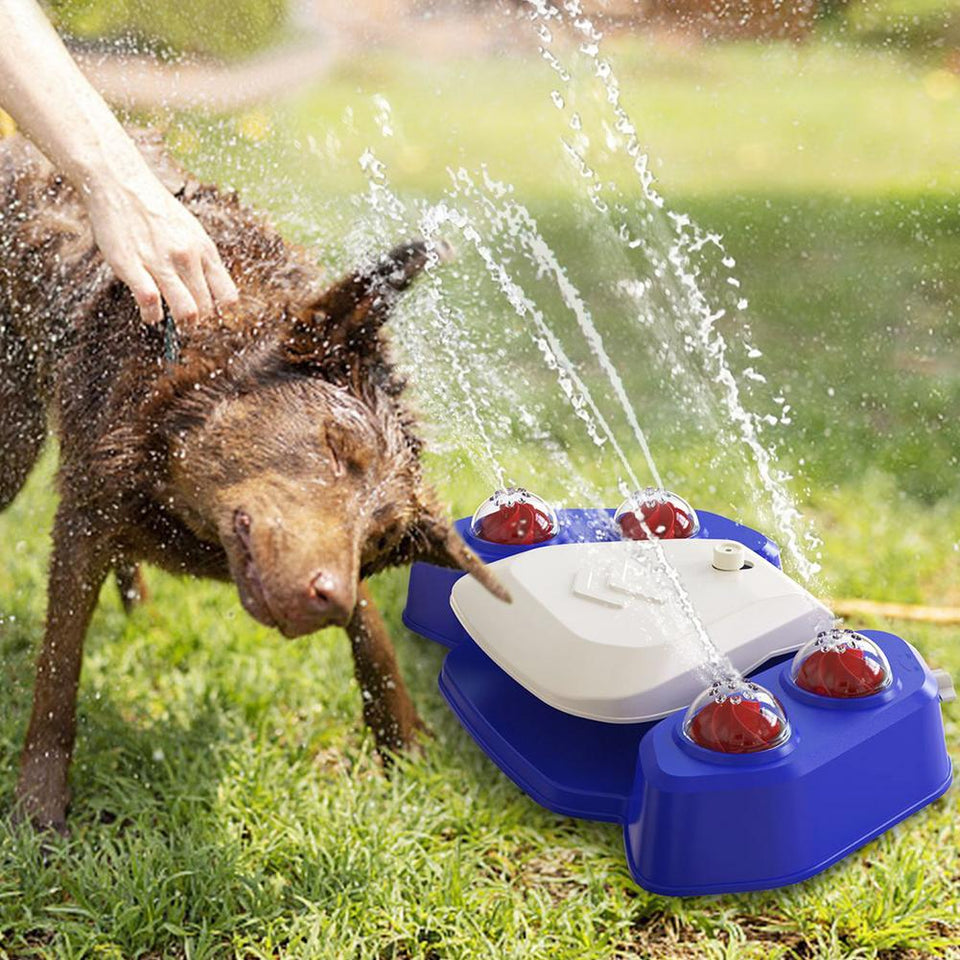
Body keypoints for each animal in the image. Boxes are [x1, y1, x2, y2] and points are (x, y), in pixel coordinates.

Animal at [1, 129, 510, 832]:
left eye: (382, 539)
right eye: (336, 446)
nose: (328, 599)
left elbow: (373, 632)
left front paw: (402, 747)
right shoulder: (90, 506)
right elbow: (59, 664)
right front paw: (40, 808)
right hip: (16, 435)